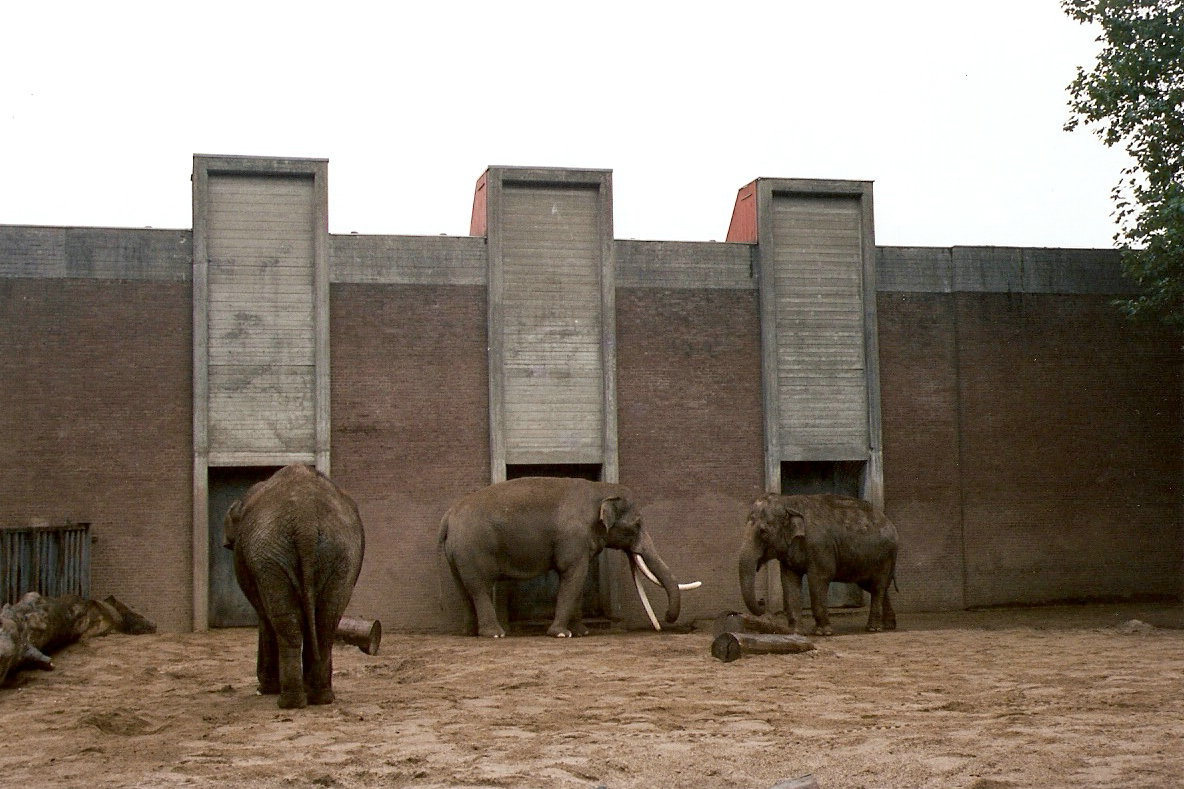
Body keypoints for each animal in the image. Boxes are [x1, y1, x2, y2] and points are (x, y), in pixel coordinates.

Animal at [222, 464, 365, 708]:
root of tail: (305, 521)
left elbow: (264, 616)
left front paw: (265, 688)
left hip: (270, 555)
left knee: (284, 623)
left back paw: (289, 701)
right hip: (340, 554)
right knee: (326, 622)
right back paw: (320, 697)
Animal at [439, 476, 700, 638]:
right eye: (636, 525)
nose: (666, 618)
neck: (601, 489)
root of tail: (448, 516)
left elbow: (578, 581)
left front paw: (582, 631)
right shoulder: (573, 538)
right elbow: (572, 576)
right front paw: (562, 634)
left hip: (455, 555)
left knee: (463, 588)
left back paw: (469, 632)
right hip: (473, 549)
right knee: (479, 588)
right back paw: (495, 634)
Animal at [738, 493, 898, 636]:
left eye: (763, 532)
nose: (762, 601)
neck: (788, 501)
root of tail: (889, 522)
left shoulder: (820, 546)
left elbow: (818, 579)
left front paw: (823, 632)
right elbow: (789, 580)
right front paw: (796, 632)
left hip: (885, 556)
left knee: (878, 586)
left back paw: (874, 628)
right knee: (874, 586)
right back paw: (889, 625)